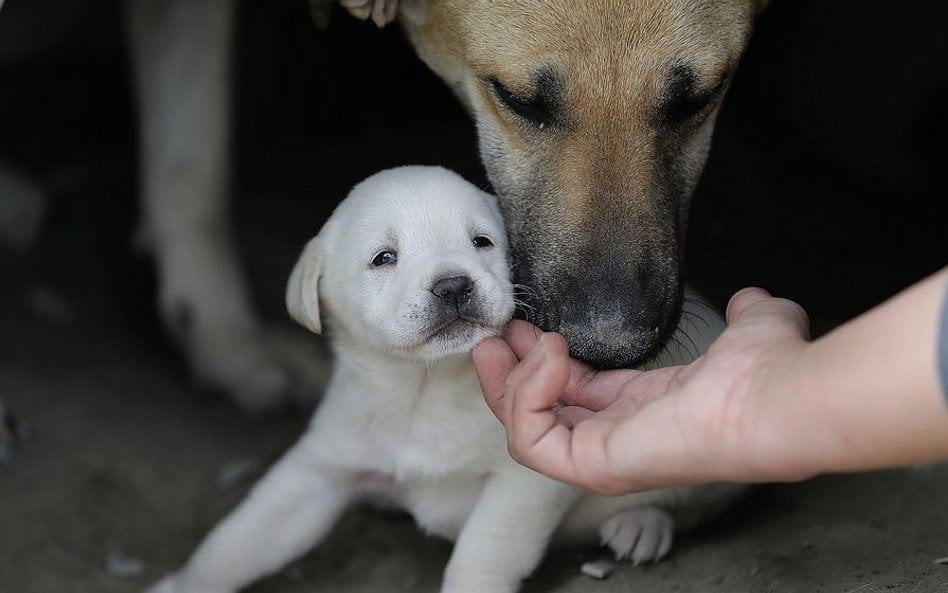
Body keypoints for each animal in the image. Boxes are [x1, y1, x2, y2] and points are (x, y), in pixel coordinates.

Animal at [146, 163, 740, 592]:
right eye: (384, 257)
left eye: (482, 242)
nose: (453, 286)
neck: (422, 390)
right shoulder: (320, 469)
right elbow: (239, 541)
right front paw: (182, 584)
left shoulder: (524, 483)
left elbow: (479, 559)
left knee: (698, 505)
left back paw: (642, 525)